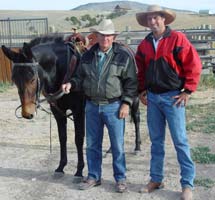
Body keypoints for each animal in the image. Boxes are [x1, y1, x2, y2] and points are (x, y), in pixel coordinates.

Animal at [1, 33, 87, 177]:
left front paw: (79, 170)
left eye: (32, 78)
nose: (27, 113)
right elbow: (62, 137)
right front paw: (61, 166)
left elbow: (78, 139)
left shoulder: (78, 111)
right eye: (14, 79)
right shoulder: (58, 112)